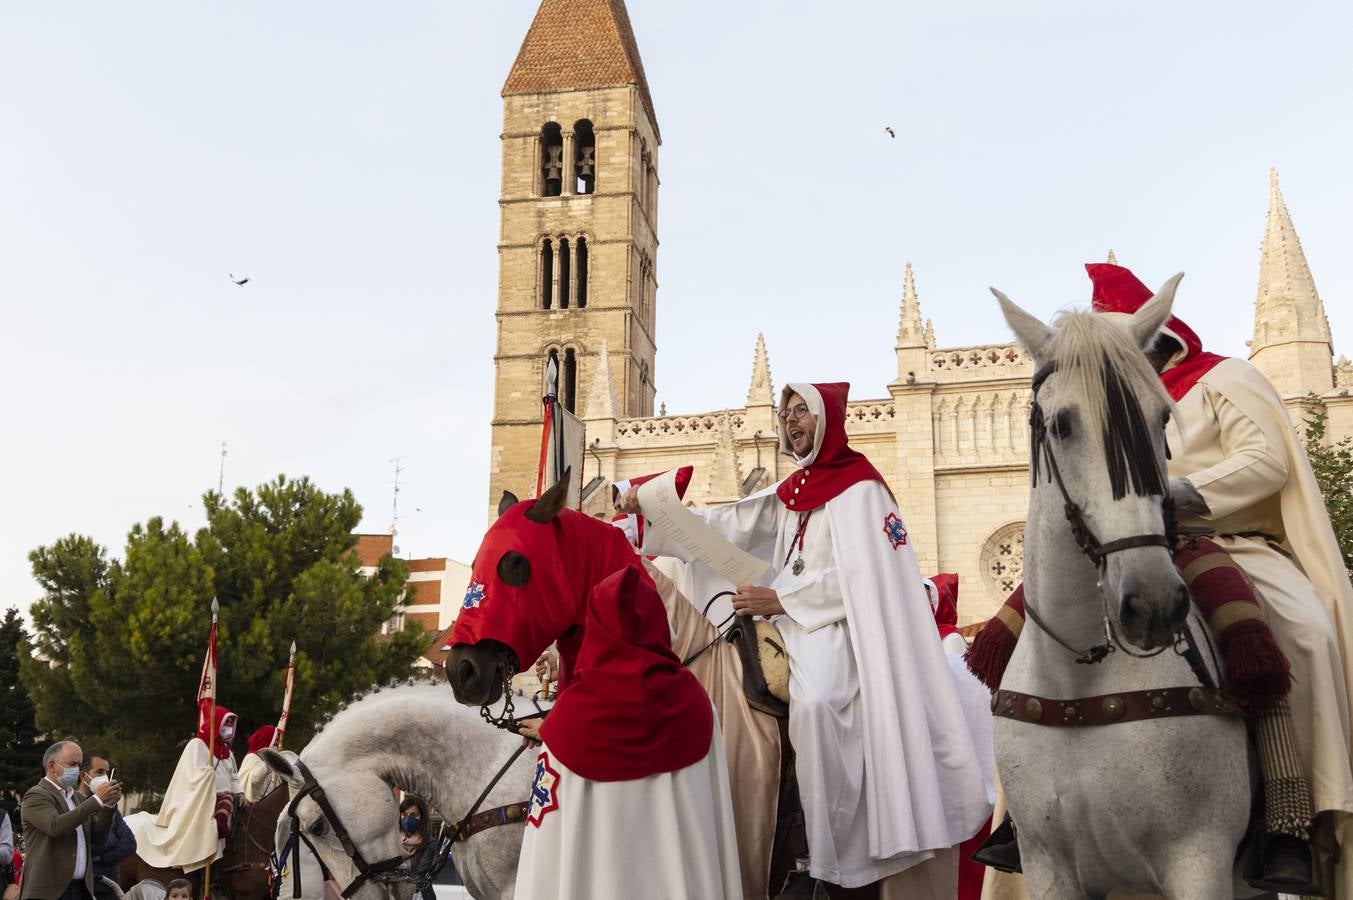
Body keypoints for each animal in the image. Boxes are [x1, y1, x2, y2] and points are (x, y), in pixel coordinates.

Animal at [990, 278, 1250, 898]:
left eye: (1161, 422)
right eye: (1061, 424)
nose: (1153, 603)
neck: (1082, 684)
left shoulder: (1200, 862)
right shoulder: (1048, 868)